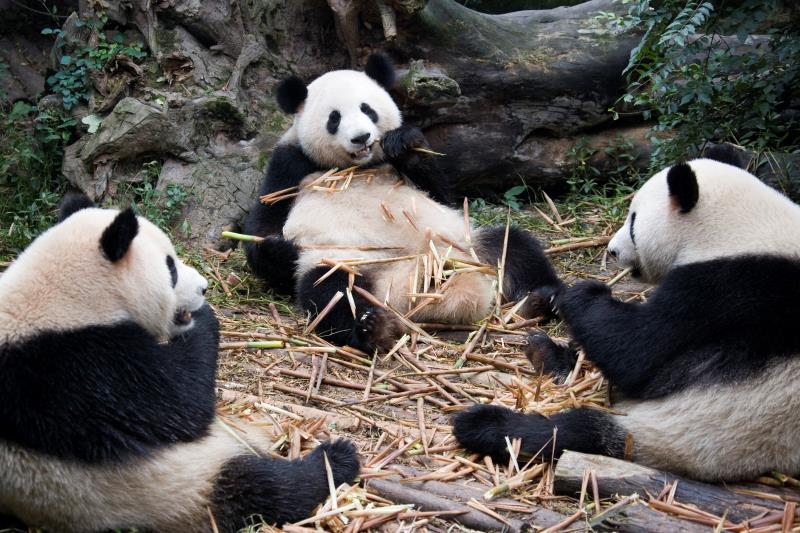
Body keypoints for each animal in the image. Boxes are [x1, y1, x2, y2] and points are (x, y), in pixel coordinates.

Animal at [0, 193, 360, 528]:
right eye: (170, 267)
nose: (204, 287)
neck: (58, 297)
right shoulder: (78, 371)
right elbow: (181, 404)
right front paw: (204, 319)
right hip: (177, 487)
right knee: (263, 487)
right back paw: (336, 459)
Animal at [454, 151, 800, 482]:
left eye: (633, 221)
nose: (612, 251)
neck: (742, 227)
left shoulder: (724, 286)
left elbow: (636, 352)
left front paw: (584, 293)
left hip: (693, 430)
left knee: (570, 431)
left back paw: (483, 424)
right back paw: (546, 354)